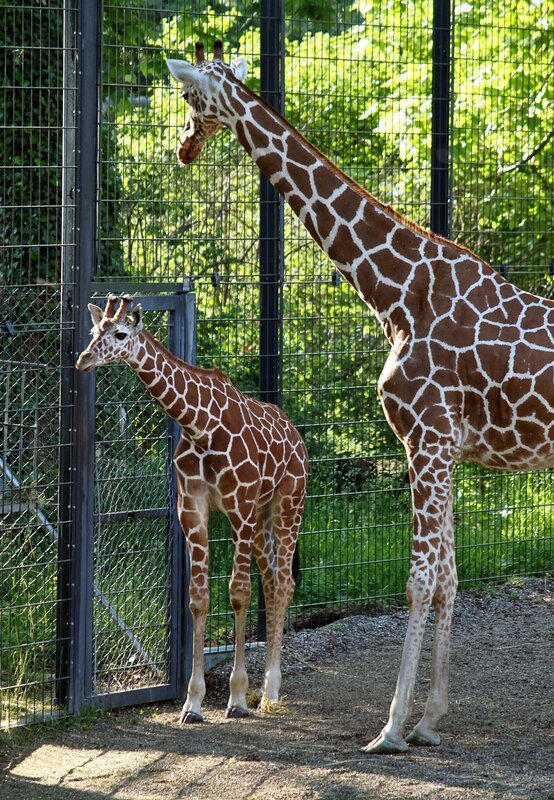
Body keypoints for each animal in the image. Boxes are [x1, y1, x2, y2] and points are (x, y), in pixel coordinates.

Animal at [76, 294, 308, 723]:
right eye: (94, 330)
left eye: (120, 334)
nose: (84, 359)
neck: (202, 426)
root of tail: (298, 438)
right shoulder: (192, 509)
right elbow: (197, 599)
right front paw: (193, 702)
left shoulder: (239, 507)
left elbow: (238, 594)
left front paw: (236, 698)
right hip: (263, 516)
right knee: (272, 580)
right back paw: (266, 688)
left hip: (287, 503)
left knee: (284, 582)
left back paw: (270, 691)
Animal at [166, 43, 554, 754]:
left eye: (187, 98)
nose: (183, 148)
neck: (398, 293)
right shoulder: (441, 450)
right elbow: (449, 579)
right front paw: (430, 720)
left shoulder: (427, 441)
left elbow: (419, 581)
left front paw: (391, 728)